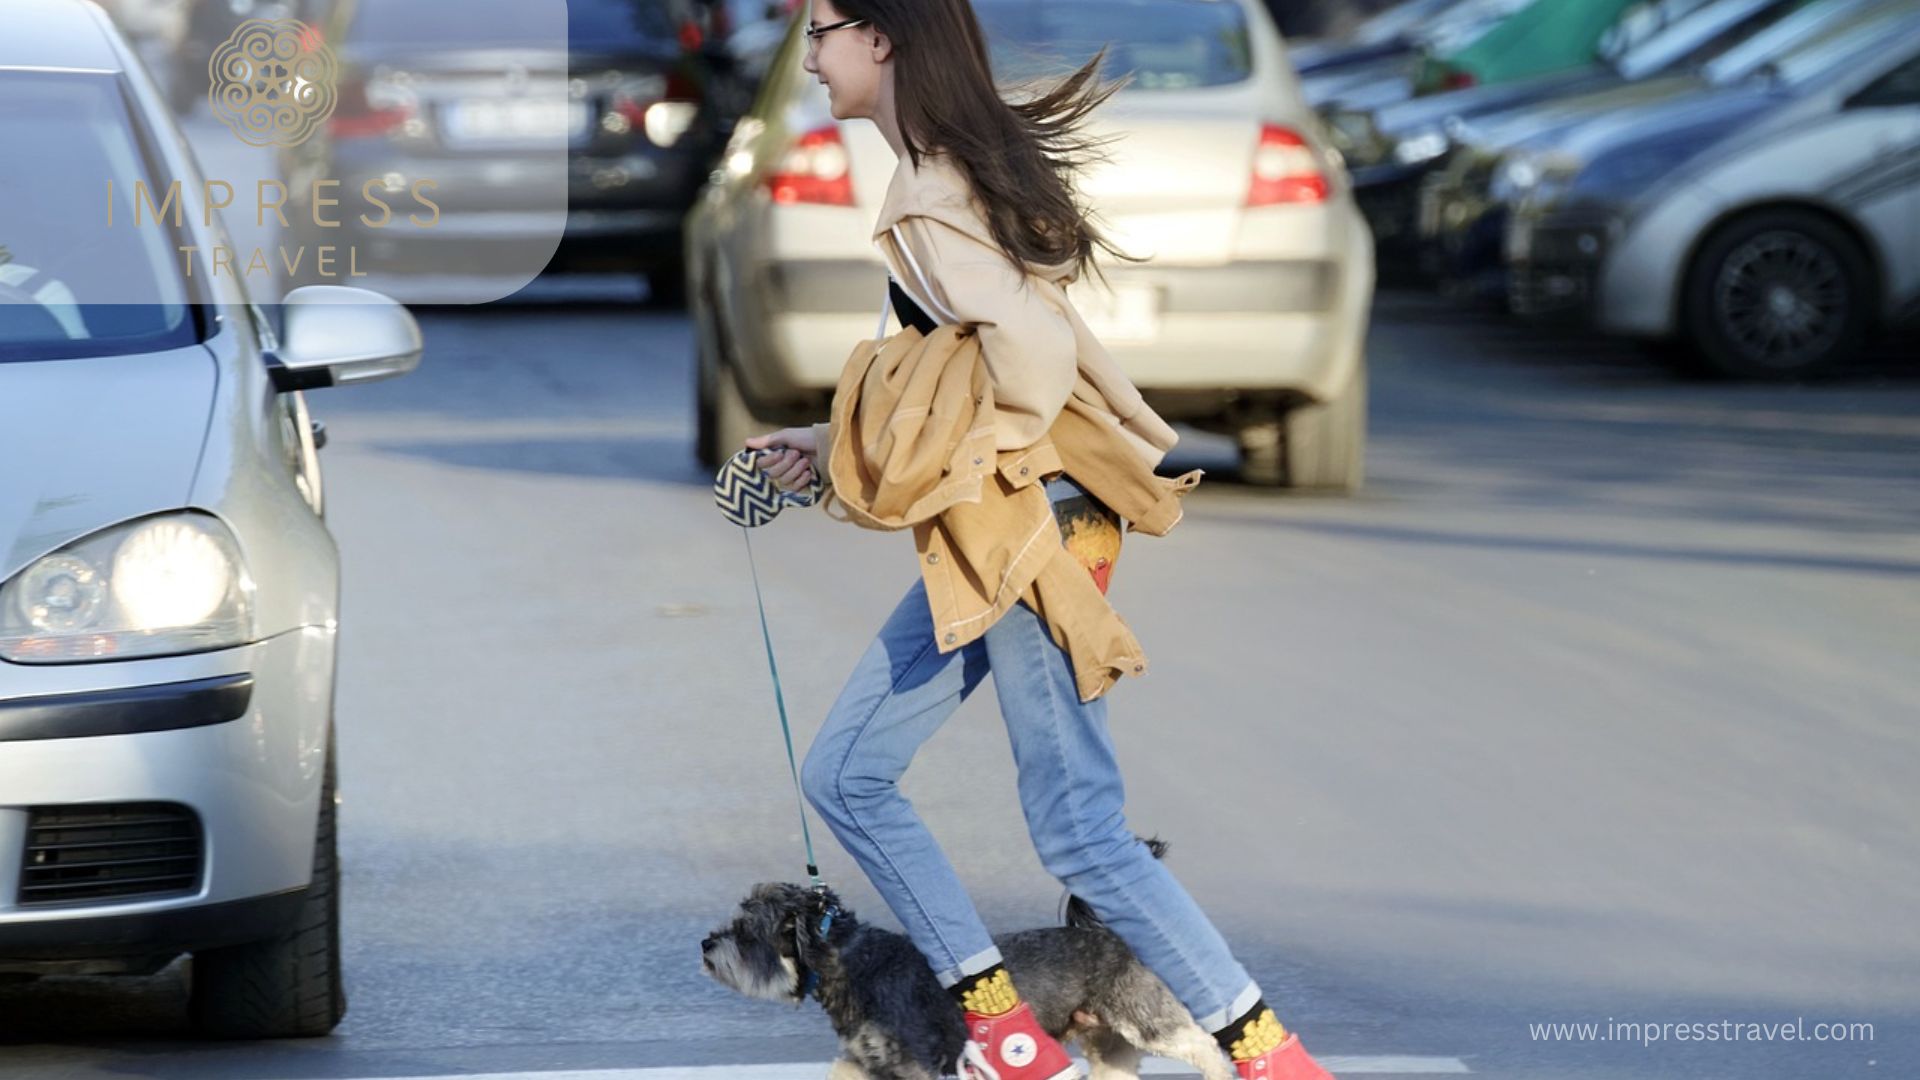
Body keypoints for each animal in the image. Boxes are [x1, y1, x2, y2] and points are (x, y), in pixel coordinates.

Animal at [702, 834, 1228, 1076]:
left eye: (745, 931)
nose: (706, 944)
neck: (851, 963)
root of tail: (1116, 937)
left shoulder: (921, 1063)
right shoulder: (867, 1063)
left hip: (1145, 1019)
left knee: (1204, 1045)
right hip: (1108, 1044)